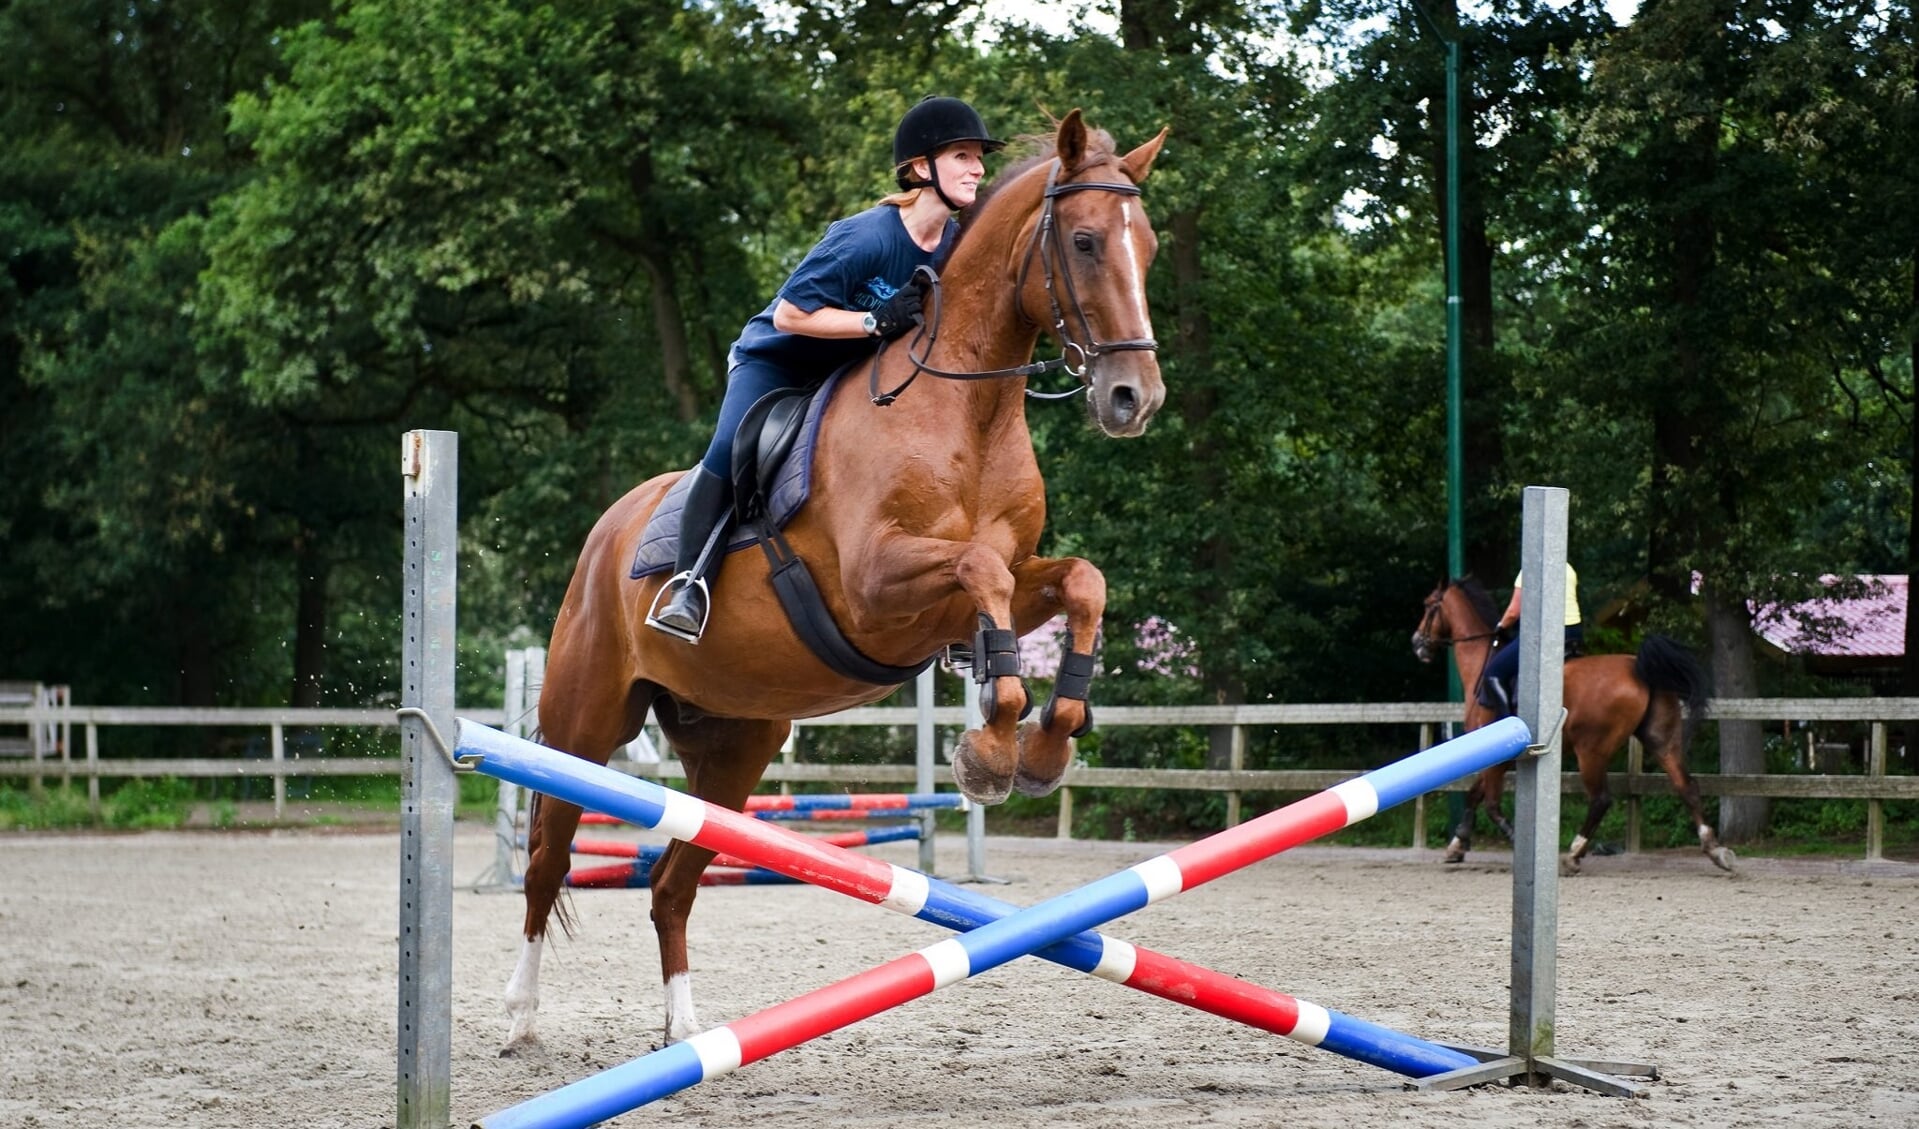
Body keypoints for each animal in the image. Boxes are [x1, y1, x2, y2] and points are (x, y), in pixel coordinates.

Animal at [502, 110, 1174, 1052]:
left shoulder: (1002, 578)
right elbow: (979, 570)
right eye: (1082, 241)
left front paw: (1045, 740)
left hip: (736, 742)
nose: (1132, 399)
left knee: (672, 880)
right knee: (546, 861)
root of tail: (606, 531)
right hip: (583, 719)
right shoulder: (876, 589)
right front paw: (992, 748)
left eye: (1144, 246)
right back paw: (521, 1016)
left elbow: (1079, 580)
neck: (966, 411)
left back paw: (687, 1028)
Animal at [1412, 576, 1742, 879]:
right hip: (1661, 740)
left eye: (1428, 605)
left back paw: (1574, 854)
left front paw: (1513, 841)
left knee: (1601, 799)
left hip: (1591, 750)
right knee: (1687, 787)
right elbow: (1475, 794)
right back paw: (1715, 850)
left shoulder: (1497, 757)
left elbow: (1490, 803)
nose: (1417, 644)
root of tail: (1639, 667)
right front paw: (1457, 845)